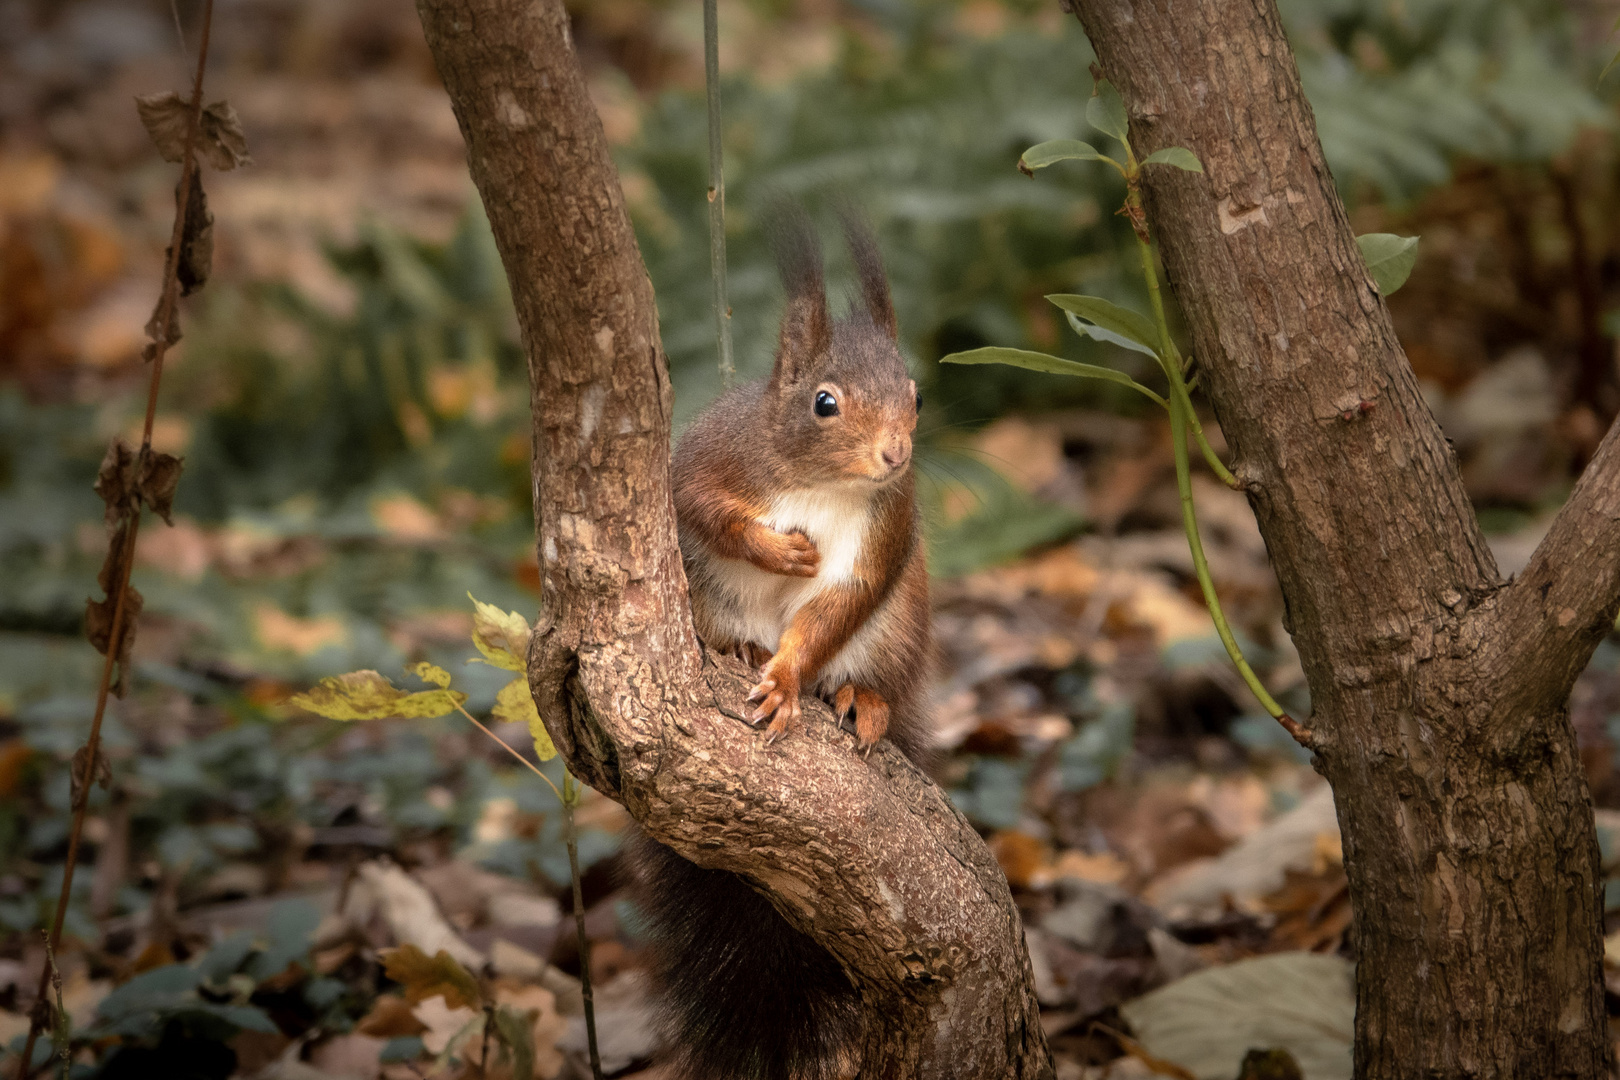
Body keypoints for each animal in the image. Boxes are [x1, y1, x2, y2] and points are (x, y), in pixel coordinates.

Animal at [635, 208, 939, 1080]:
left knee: (871, 665)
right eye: (823, 402)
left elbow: (835, 606)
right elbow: (703, 508)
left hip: (901, 622)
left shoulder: (885, 527)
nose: (895, 454)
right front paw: (776, 552)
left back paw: (859, 699)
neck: (822, 485)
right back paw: (734, 645)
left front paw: (787, 680)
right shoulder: (714, 459)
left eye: (916, 393)